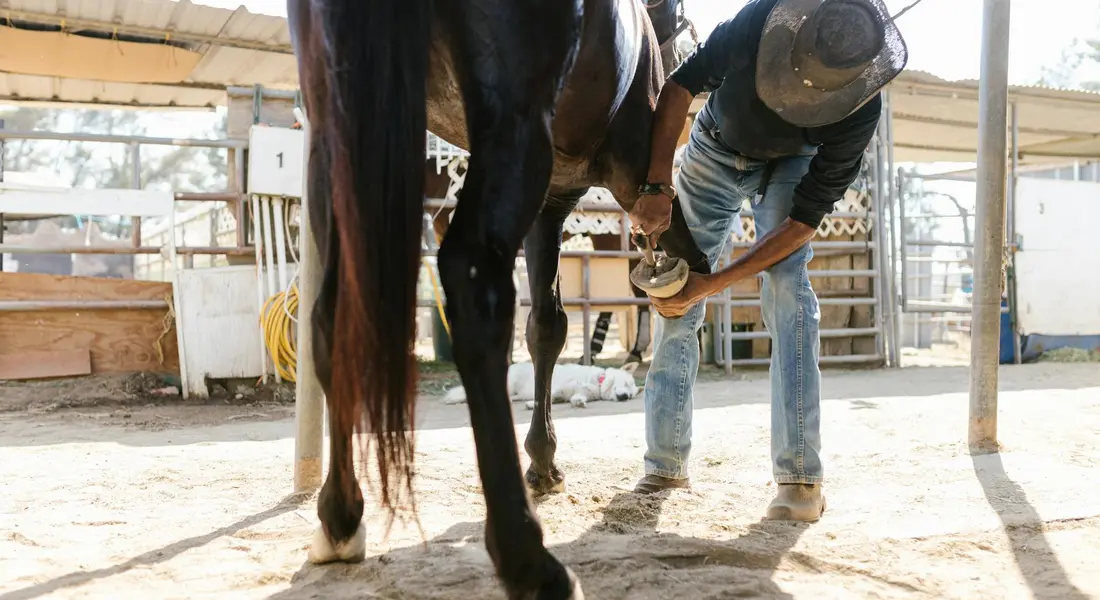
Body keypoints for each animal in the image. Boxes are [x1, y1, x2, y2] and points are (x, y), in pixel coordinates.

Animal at [286, 0, 707, 596]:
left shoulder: (553, 201)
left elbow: (547, 326)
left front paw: (544, 461)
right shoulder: (615, 182)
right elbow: (687, 268)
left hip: (342, 141)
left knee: (330, 320)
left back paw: (340, 518)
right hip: (513, 132)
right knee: (474, 285)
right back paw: (528, 559)